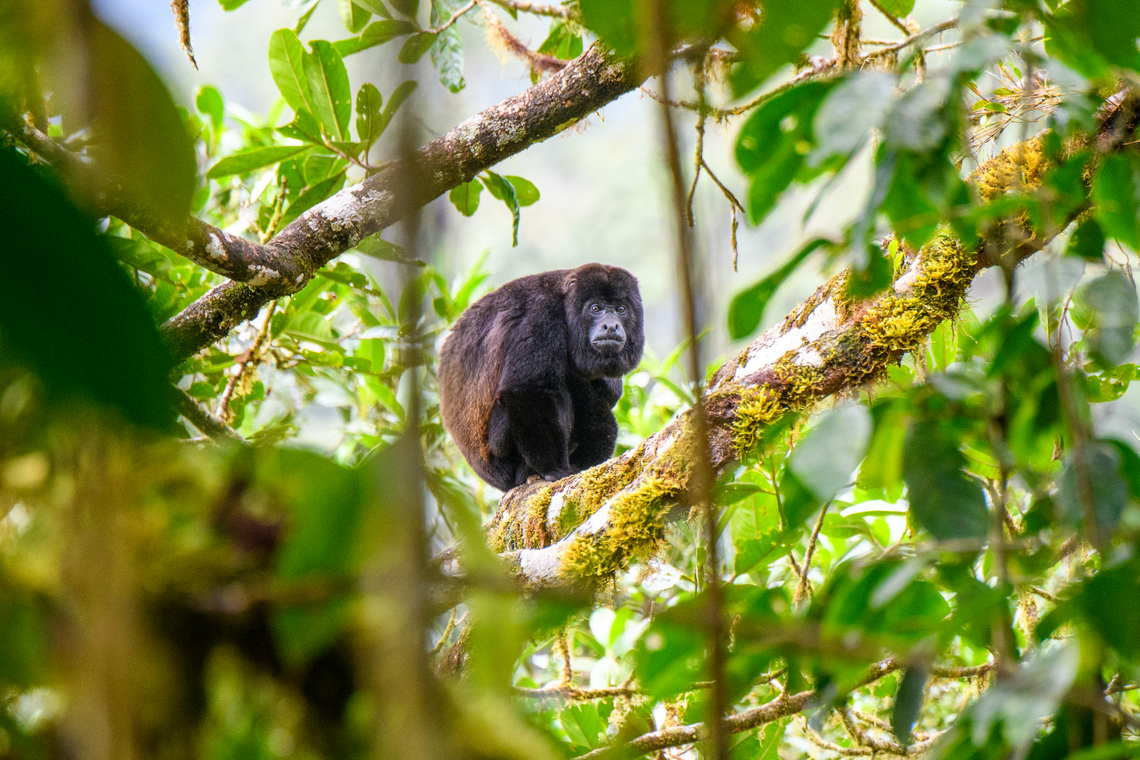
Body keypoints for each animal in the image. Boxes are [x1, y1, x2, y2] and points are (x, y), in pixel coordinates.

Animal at [438, 263, 644, 491]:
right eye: (595, 308)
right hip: (501, 446)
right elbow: (528, 390)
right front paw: (555, 470)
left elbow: (610, 392)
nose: (611, 326)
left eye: (621, 309)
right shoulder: (541, 315)